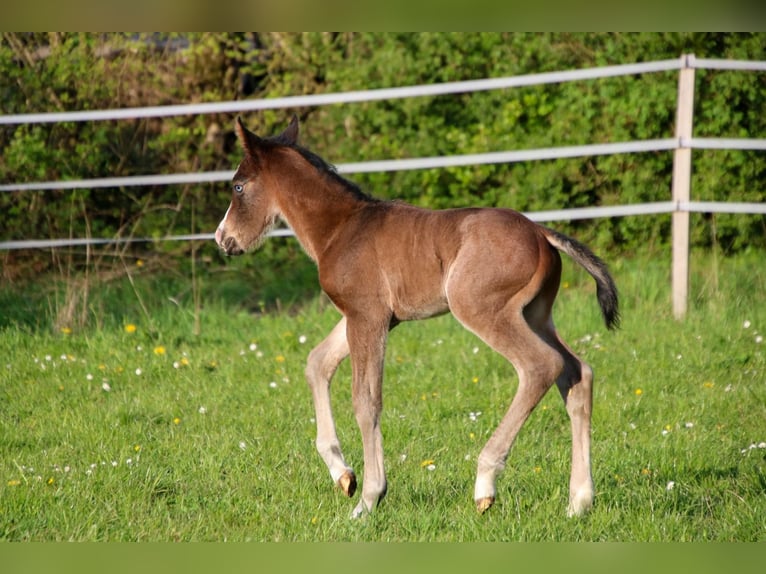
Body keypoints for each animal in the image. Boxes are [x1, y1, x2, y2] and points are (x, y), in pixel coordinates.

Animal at [215, 116, 619, 519]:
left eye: (238, 186)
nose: (223, 239)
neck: (340, 228)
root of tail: (541, 233)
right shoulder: (371, 316)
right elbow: (317, 363)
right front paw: (343, 475)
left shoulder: (367, 316)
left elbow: (366, 400)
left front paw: (369, 498)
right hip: (535, 314)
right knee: (577, 373)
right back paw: (579, 501)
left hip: (480, 308)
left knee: (541, 366)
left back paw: (485, 483)